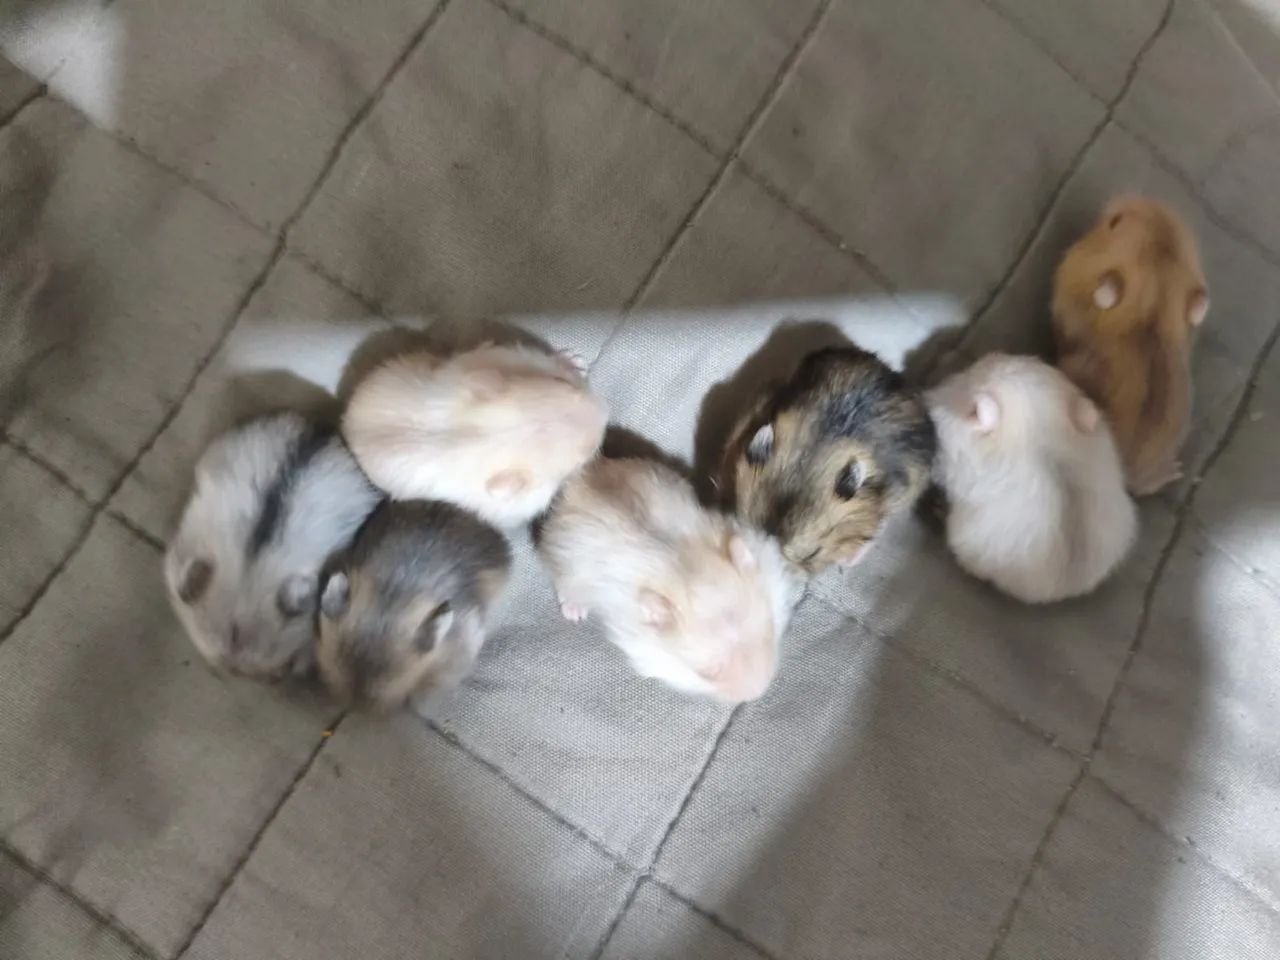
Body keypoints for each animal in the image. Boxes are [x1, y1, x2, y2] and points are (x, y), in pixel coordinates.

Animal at [342, 342, 609, 527]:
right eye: (584, 457)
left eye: (563, 382)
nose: (606, 413)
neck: (487, 436)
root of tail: (345, 422)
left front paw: (576, 359)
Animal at [539, 457, 801, 703]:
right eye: (705, 673)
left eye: (769, 633)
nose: (758, 694)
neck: (684, 570)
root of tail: (583, 474)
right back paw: (574, 612)